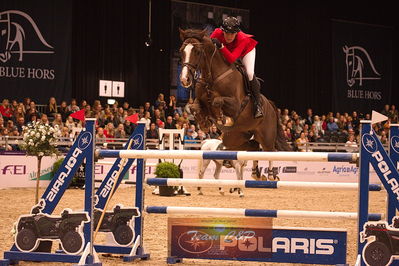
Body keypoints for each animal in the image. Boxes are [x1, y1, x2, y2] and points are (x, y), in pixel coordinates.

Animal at [180, 28, 292, 180]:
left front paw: (222, 118)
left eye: (197, 51)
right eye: (182, 51)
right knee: (254, 147)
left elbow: (217, 101)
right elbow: (194, 107)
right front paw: (204, 123)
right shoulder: (200, 102)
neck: (212, 77)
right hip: (235, 138)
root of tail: (270, 105)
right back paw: (257, 174)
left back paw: (270, 176)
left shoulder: (236, 106)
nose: (184, 80)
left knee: (269, 151)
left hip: (266, 135)